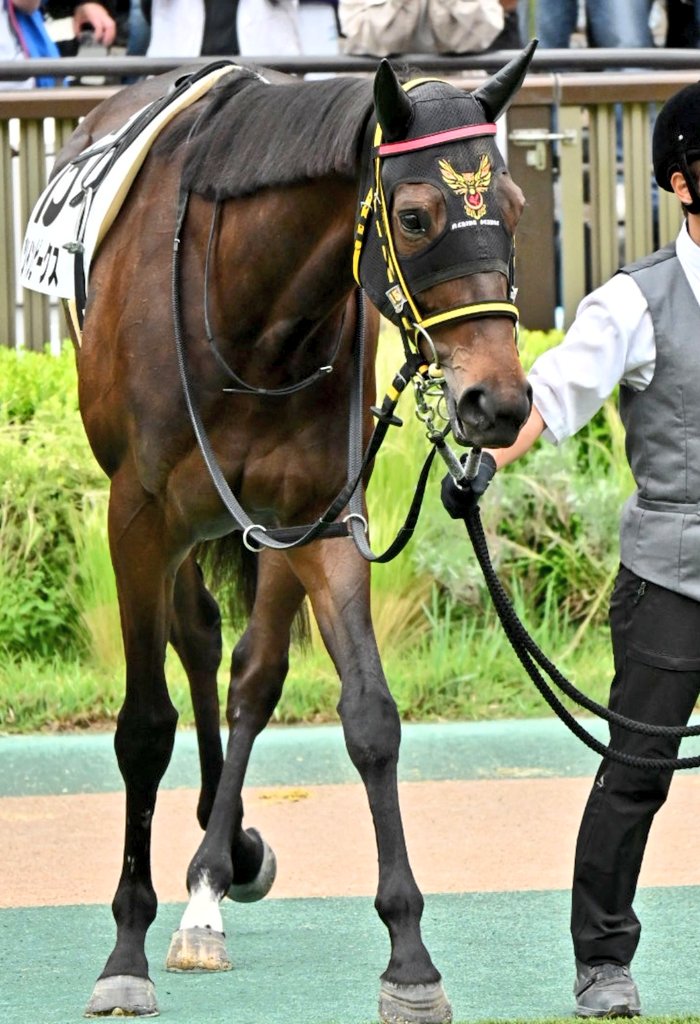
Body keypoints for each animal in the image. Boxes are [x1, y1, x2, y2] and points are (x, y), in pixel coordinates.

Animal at [36, 42, 535, 1021]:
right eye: (414, 216)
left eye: (513, 205)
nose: (496, 400)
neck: (249, 312)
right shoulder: (137, 516)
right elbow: (142, 726)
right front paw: (124, 951)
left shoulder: (318, 517)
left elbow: (370, 715)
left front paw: (410, 960)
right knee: (195, 637)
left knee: (249, 672)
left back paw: (216, 866)